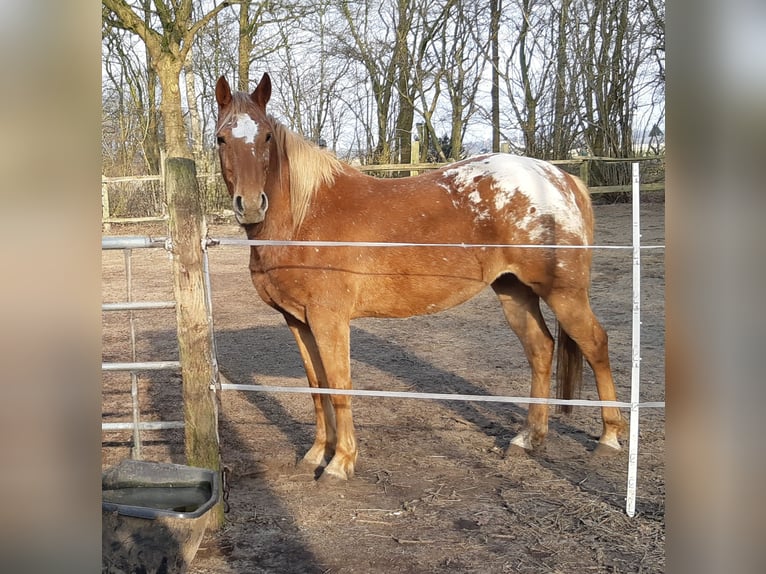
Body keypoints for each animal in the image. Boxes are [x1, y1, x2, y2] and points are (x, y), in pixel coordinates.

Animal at [213, 74, 628, 484]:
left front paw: (340, 463)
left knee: (595, 344)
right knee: (541, 349)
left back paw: (609, 438)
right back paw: (528, 438)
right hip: (514, 290)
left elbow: (340, 386)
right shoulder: (298, 320)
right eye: (221, 138)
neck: (305, 216)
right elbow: (318, 388)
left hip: (564, 293)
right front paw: (316, 453)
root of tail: (561, 178)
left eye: (267, 136)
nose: (251, 205)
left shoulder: (329, 320)